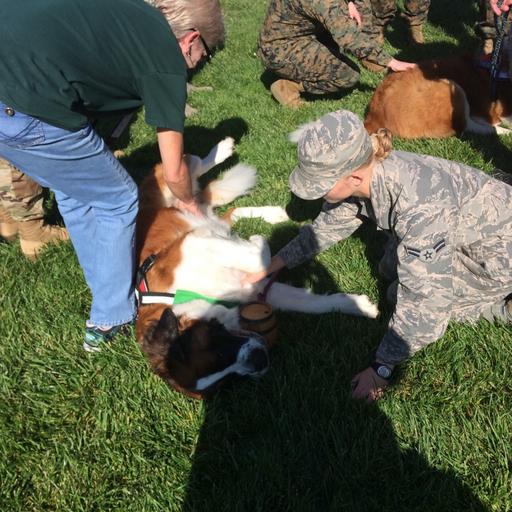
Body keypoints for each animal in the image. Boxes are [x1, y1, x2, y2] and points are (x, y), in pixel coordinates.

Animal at [135, 137, 379, 398]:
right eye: (228, 381)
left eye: (219, 350)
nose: (260, 361)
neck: (179, 298)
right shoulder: (253, 287)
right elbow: (310, 303)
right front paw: (359, 306)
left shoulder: (192, 243)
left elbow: (254, 256)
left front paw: (258, 241)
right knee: (231, 213)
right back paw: (273, 214)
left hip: (171, 181)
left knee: (192, 164)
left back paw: (222, 150)